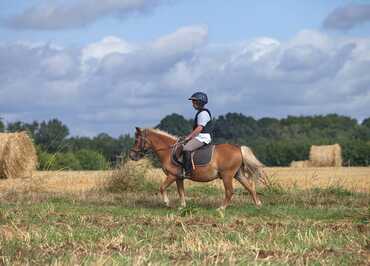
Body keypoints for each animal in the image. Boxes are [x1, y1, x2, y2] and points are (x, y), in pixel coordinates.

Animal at [129, 127, 268, 210]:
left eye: (137, 140)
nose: (132, 155)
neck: (168, 151)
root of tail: (238, 148)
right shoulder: (179, 177)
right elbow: (181, 191)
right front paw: (182, 206)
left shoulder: (172, 176)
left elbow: (162, 188)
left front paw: (167, 203)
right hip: (237, 174)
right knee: (250, 187)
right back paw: (258, 204)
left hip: (227, 175)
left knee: (230, 191)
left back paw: (221, 208)